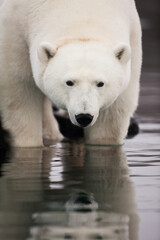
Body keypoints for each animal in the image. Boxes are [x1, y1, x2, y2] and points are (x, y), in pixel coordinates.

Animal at [0, 0, 141, 146]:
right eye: (69, 82)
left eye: (100, 83)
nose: (84, 117)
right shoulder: (15, 29)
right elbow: (21, 92)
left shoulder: (132, 32)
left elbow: (111, 116)